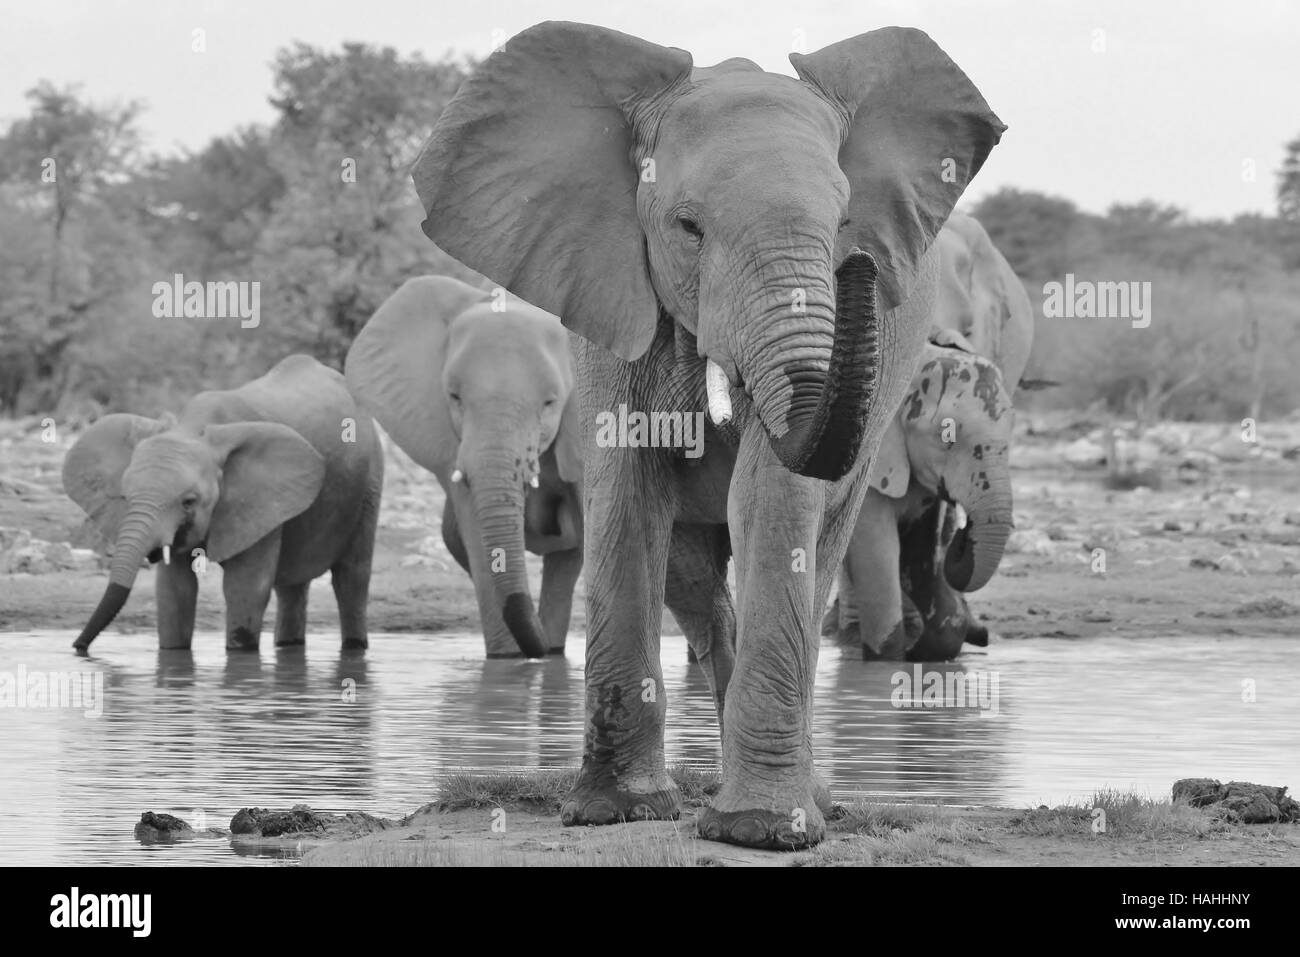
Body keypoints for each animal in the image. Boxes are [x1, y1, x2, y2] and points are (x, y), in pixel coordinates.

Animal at [63, 356, 382, 655]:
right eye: (126, 498)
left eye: (189, 502)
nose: (78, 647)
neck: (193, 427)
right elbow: (175, 590)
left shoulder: (260, 498)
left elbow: (245, 588)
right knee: (292, 586)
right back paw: (289, 645)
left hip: (370, 479)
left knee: (351, 577)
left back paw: (355, 646)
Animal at [410, 20, 998, 842]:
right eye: (687, 227)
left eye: (844, 224)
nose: (856, 266)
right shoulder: (609, 288)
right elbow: (627, 490)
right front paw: (614, 811)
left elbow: (771, 493)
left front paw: (759, 828)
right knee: (691, 577)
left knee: (818, 545)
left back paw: (807, 800)